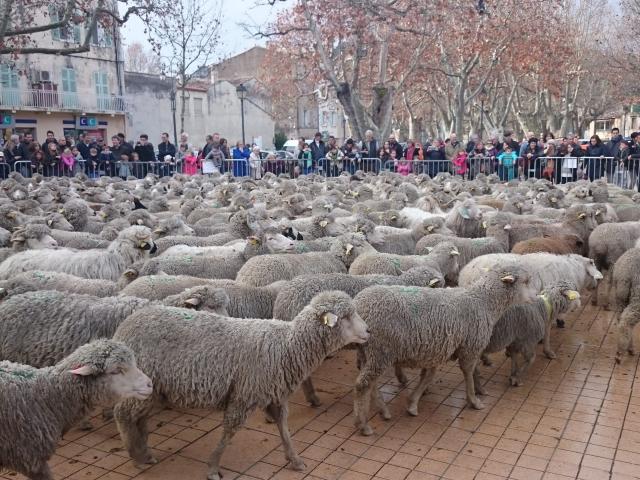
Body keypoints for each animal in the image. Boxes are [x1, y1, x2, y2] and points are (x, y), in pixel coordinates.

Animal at [112, 288, 368, 480]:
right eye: (346, 317)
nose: (368, 331)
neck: (285, 346)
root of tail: (126, 325)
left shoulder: (273, 393)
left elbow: (283, 426)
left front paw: (294, 459)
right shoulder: (244, 395)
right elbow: (229, 431)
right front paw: (213, 467)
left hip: (152, 389)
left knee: (140, 417)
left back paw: (144, 451)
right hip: (138, 383)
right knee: (122, 414)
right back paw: (135, 455)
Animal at [352, 266, 536, 436]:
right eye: (526, 281)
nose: (535, 297)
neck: (483, 301)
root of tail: (359, 305)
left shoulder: (440, 348)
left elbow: (429, 376)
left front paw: (413, 403)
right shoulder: (470, 347)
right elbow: (468, 372)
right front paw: (474, 400)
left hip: (370, 352)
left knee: (370, 383)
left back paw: (383, 411)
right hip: (381, 351)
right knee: (363, 384)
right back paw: (363, 424)